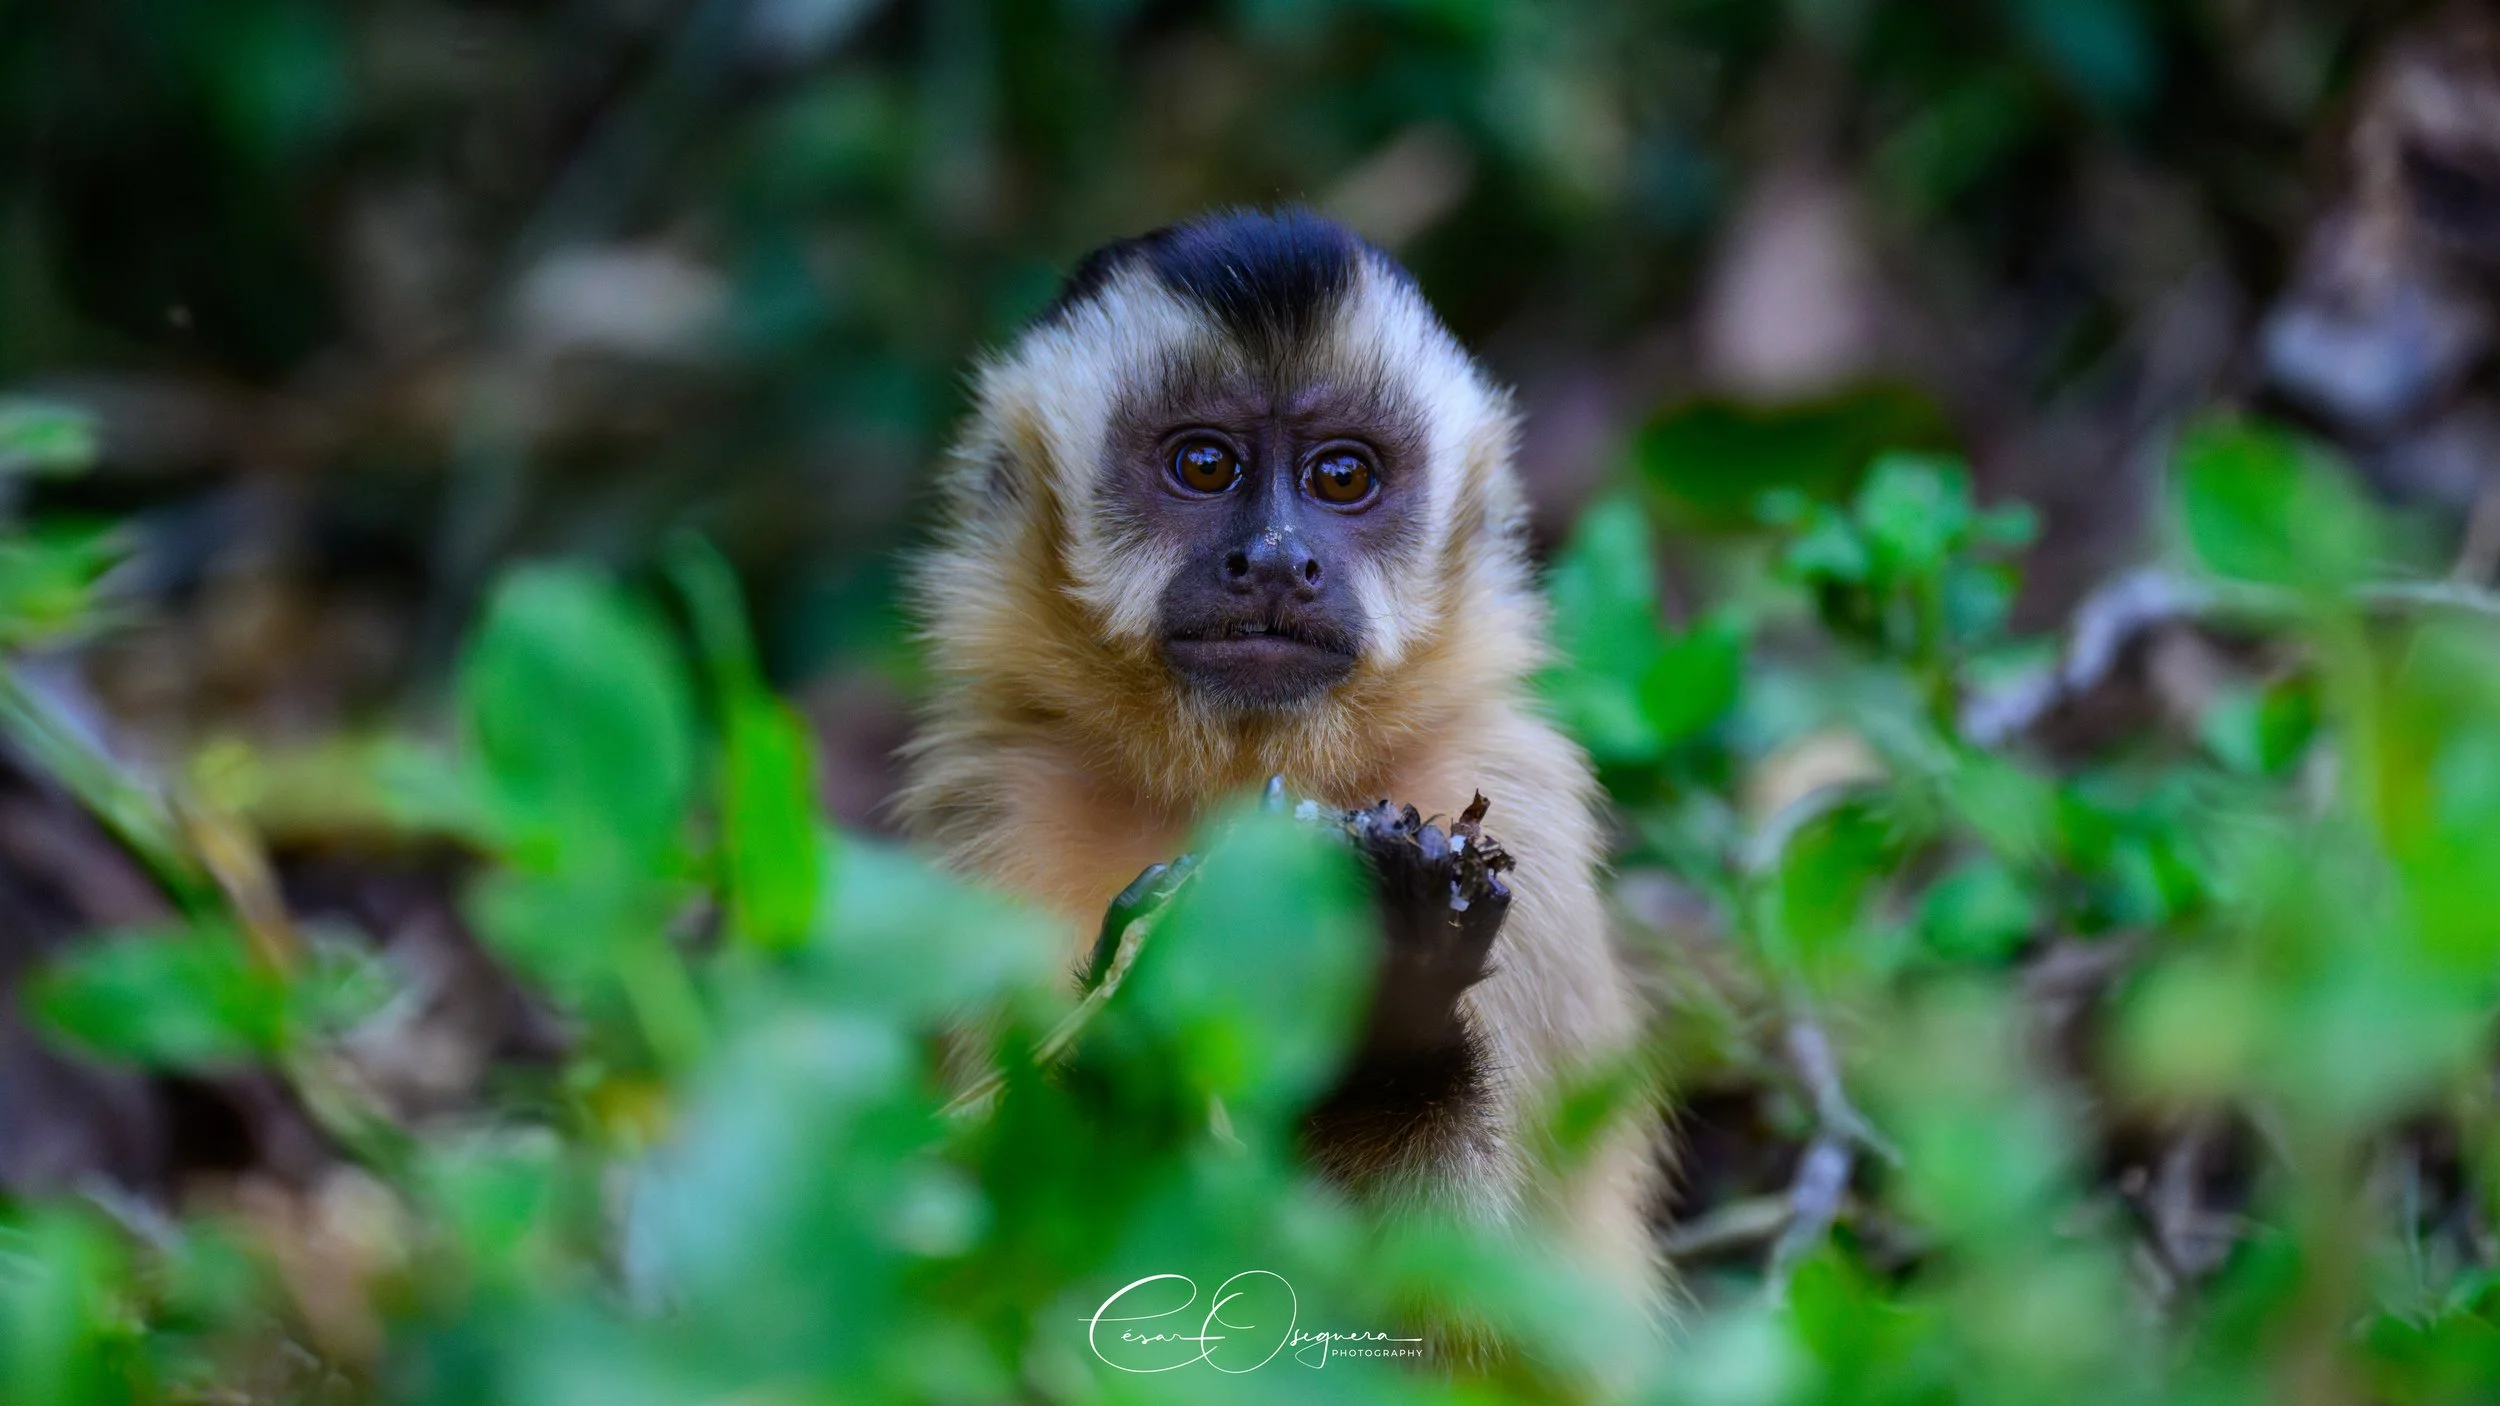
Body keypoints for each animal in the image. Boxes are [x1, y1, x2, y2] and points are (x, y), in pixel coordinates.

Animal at [895, 208, 1664, 1318]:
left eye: (1341, 476)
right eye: (1204, 464)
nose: (1270, 559)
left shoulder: (1515, 795)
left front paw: (1391, 1001)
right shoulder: (996, 805)